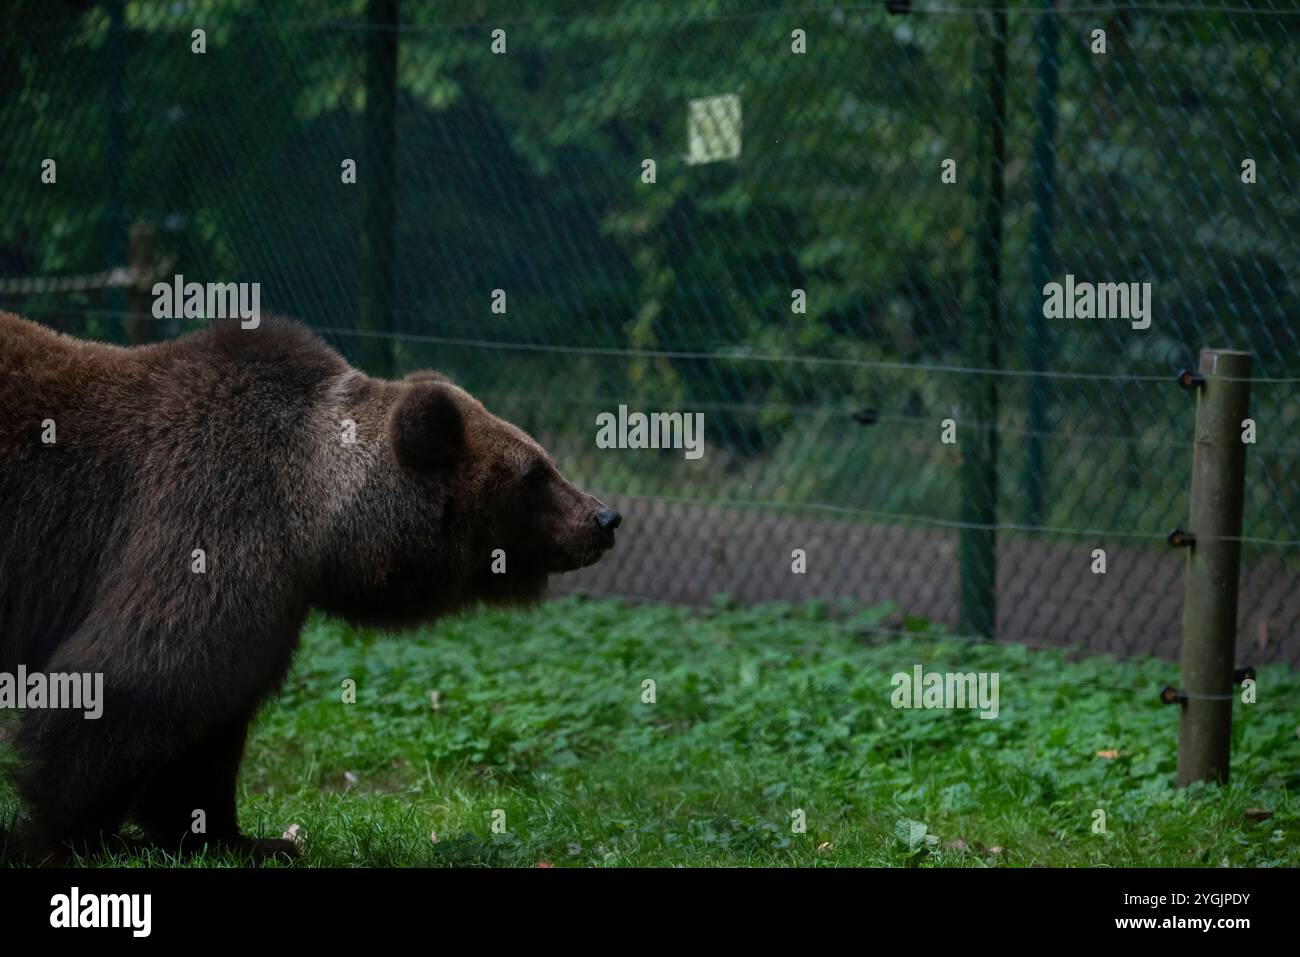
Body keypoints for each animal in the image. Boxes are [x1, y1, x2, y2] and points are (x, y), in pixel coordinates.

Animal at [0, 312, 621, 858]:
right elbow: (137, 677)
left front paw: (242, 838)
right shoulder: (206, 516)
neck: (316, 520)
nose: (605, 518)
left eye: (545, 461)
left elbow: (210, 727)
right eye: (535, 474)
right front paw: (67, 835)